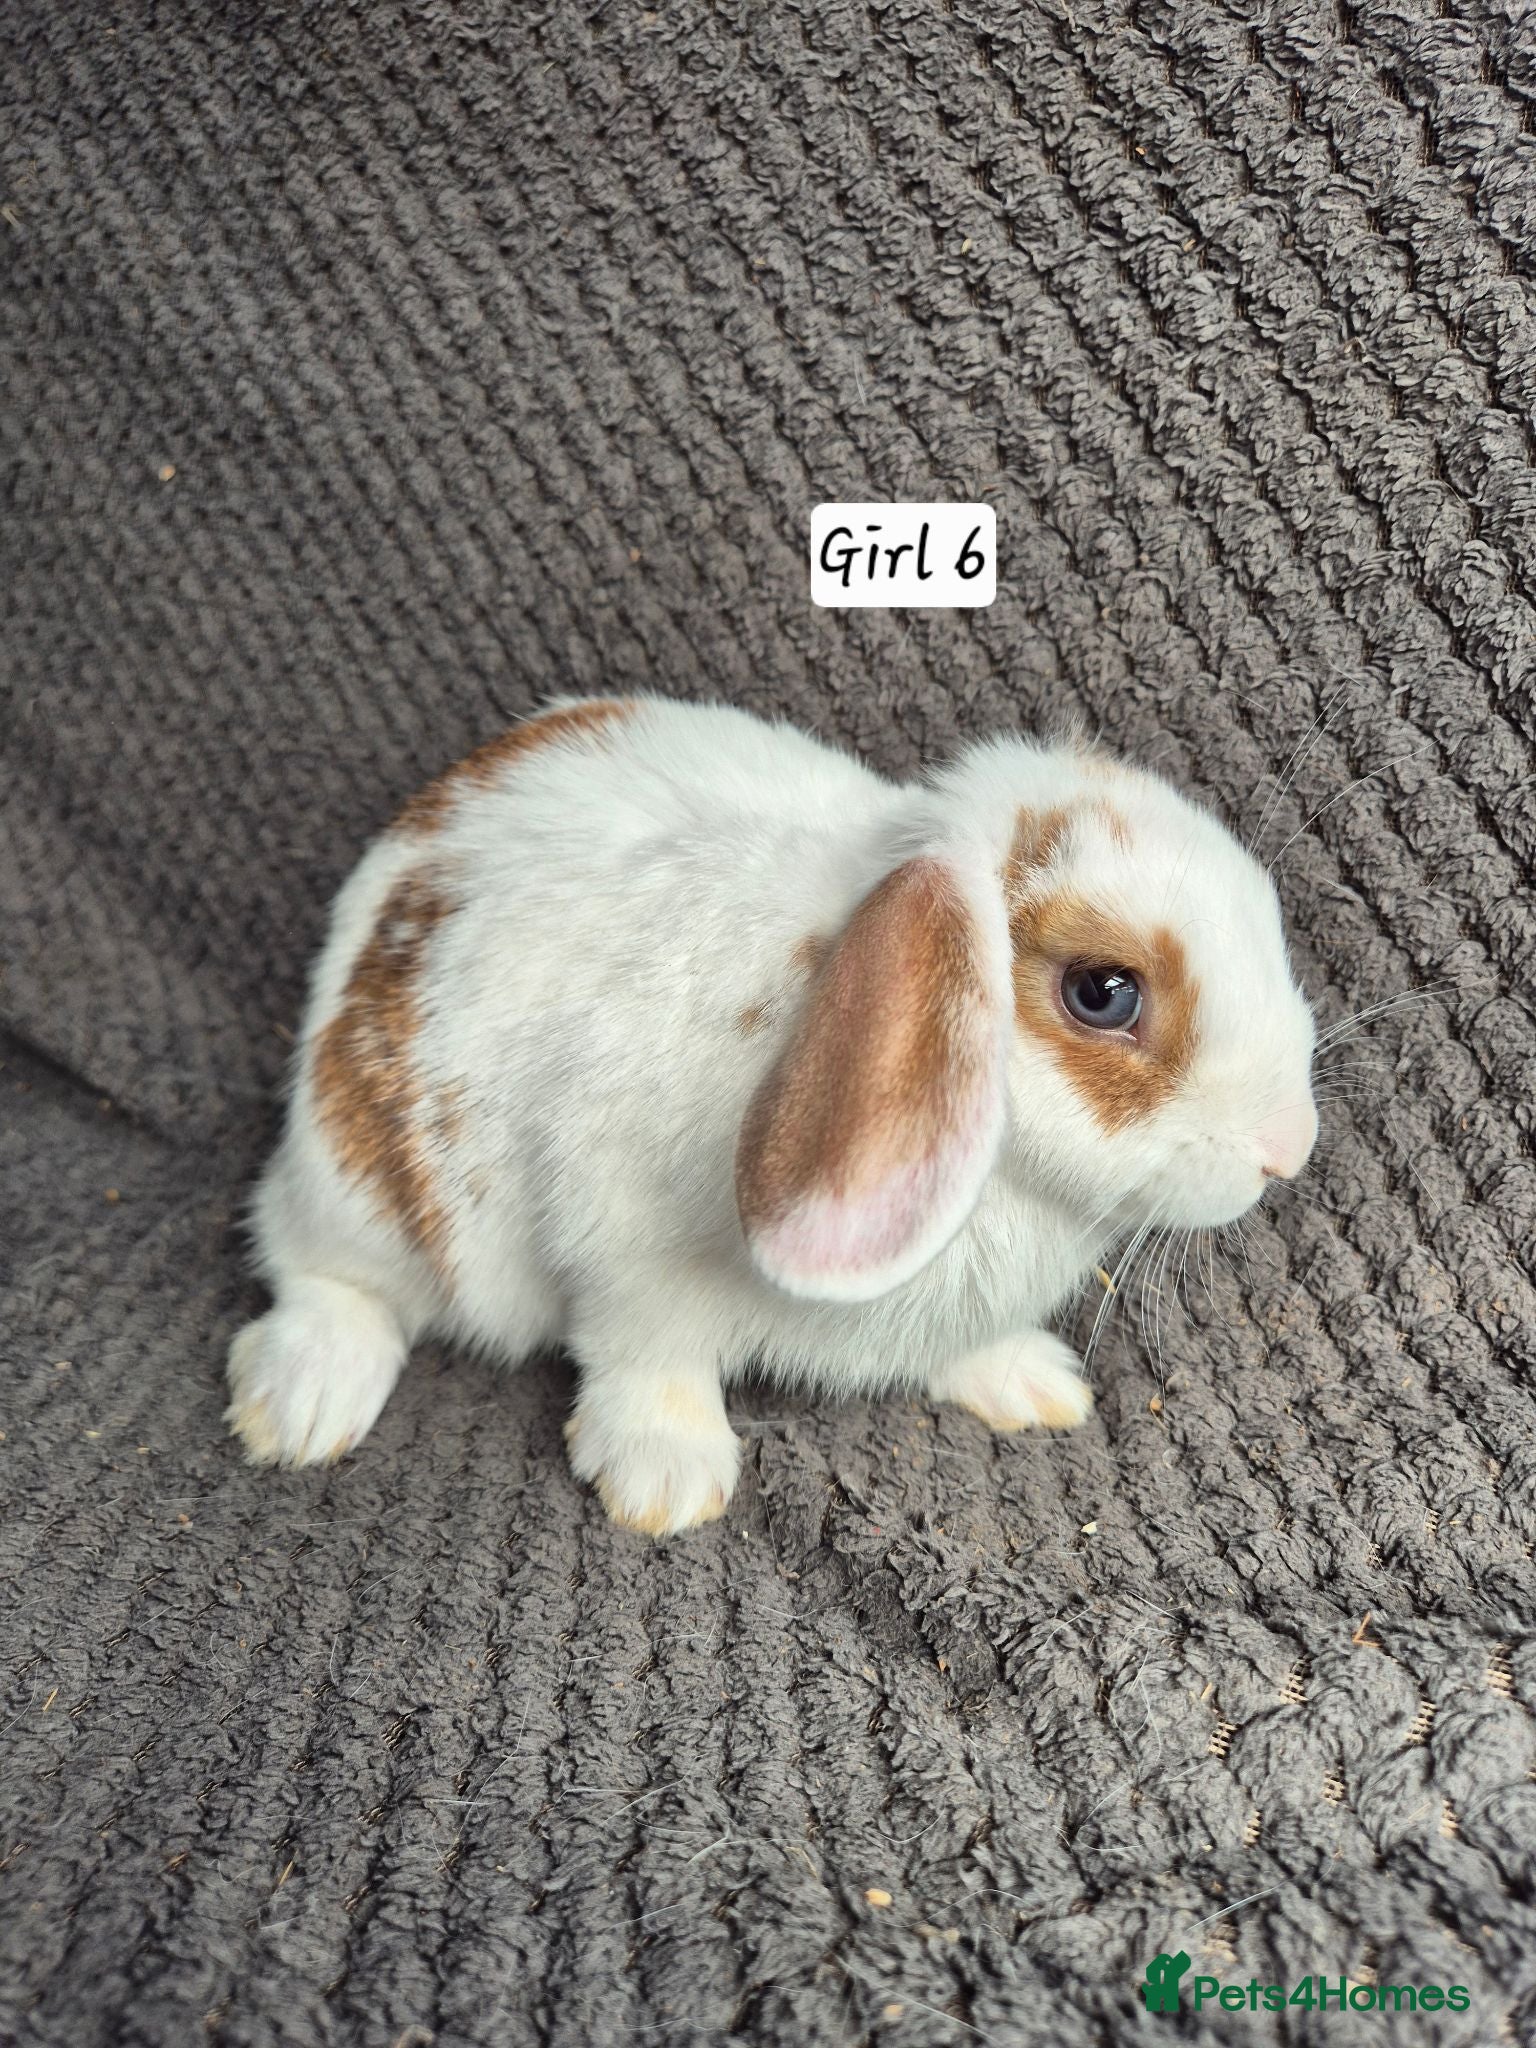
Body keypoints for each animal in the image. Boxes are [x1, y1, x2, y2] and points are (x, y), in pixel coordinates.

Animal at [227, 693, 1318, 1534]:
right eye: (1102, 992)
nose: (1291, 1149)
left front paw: (1035, 1384)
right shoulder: (623, 1249)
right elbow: (647, 1357)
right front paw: (666, 1484)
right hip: (359, 1181)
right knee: (317, 1268)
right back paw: (301, 1407)